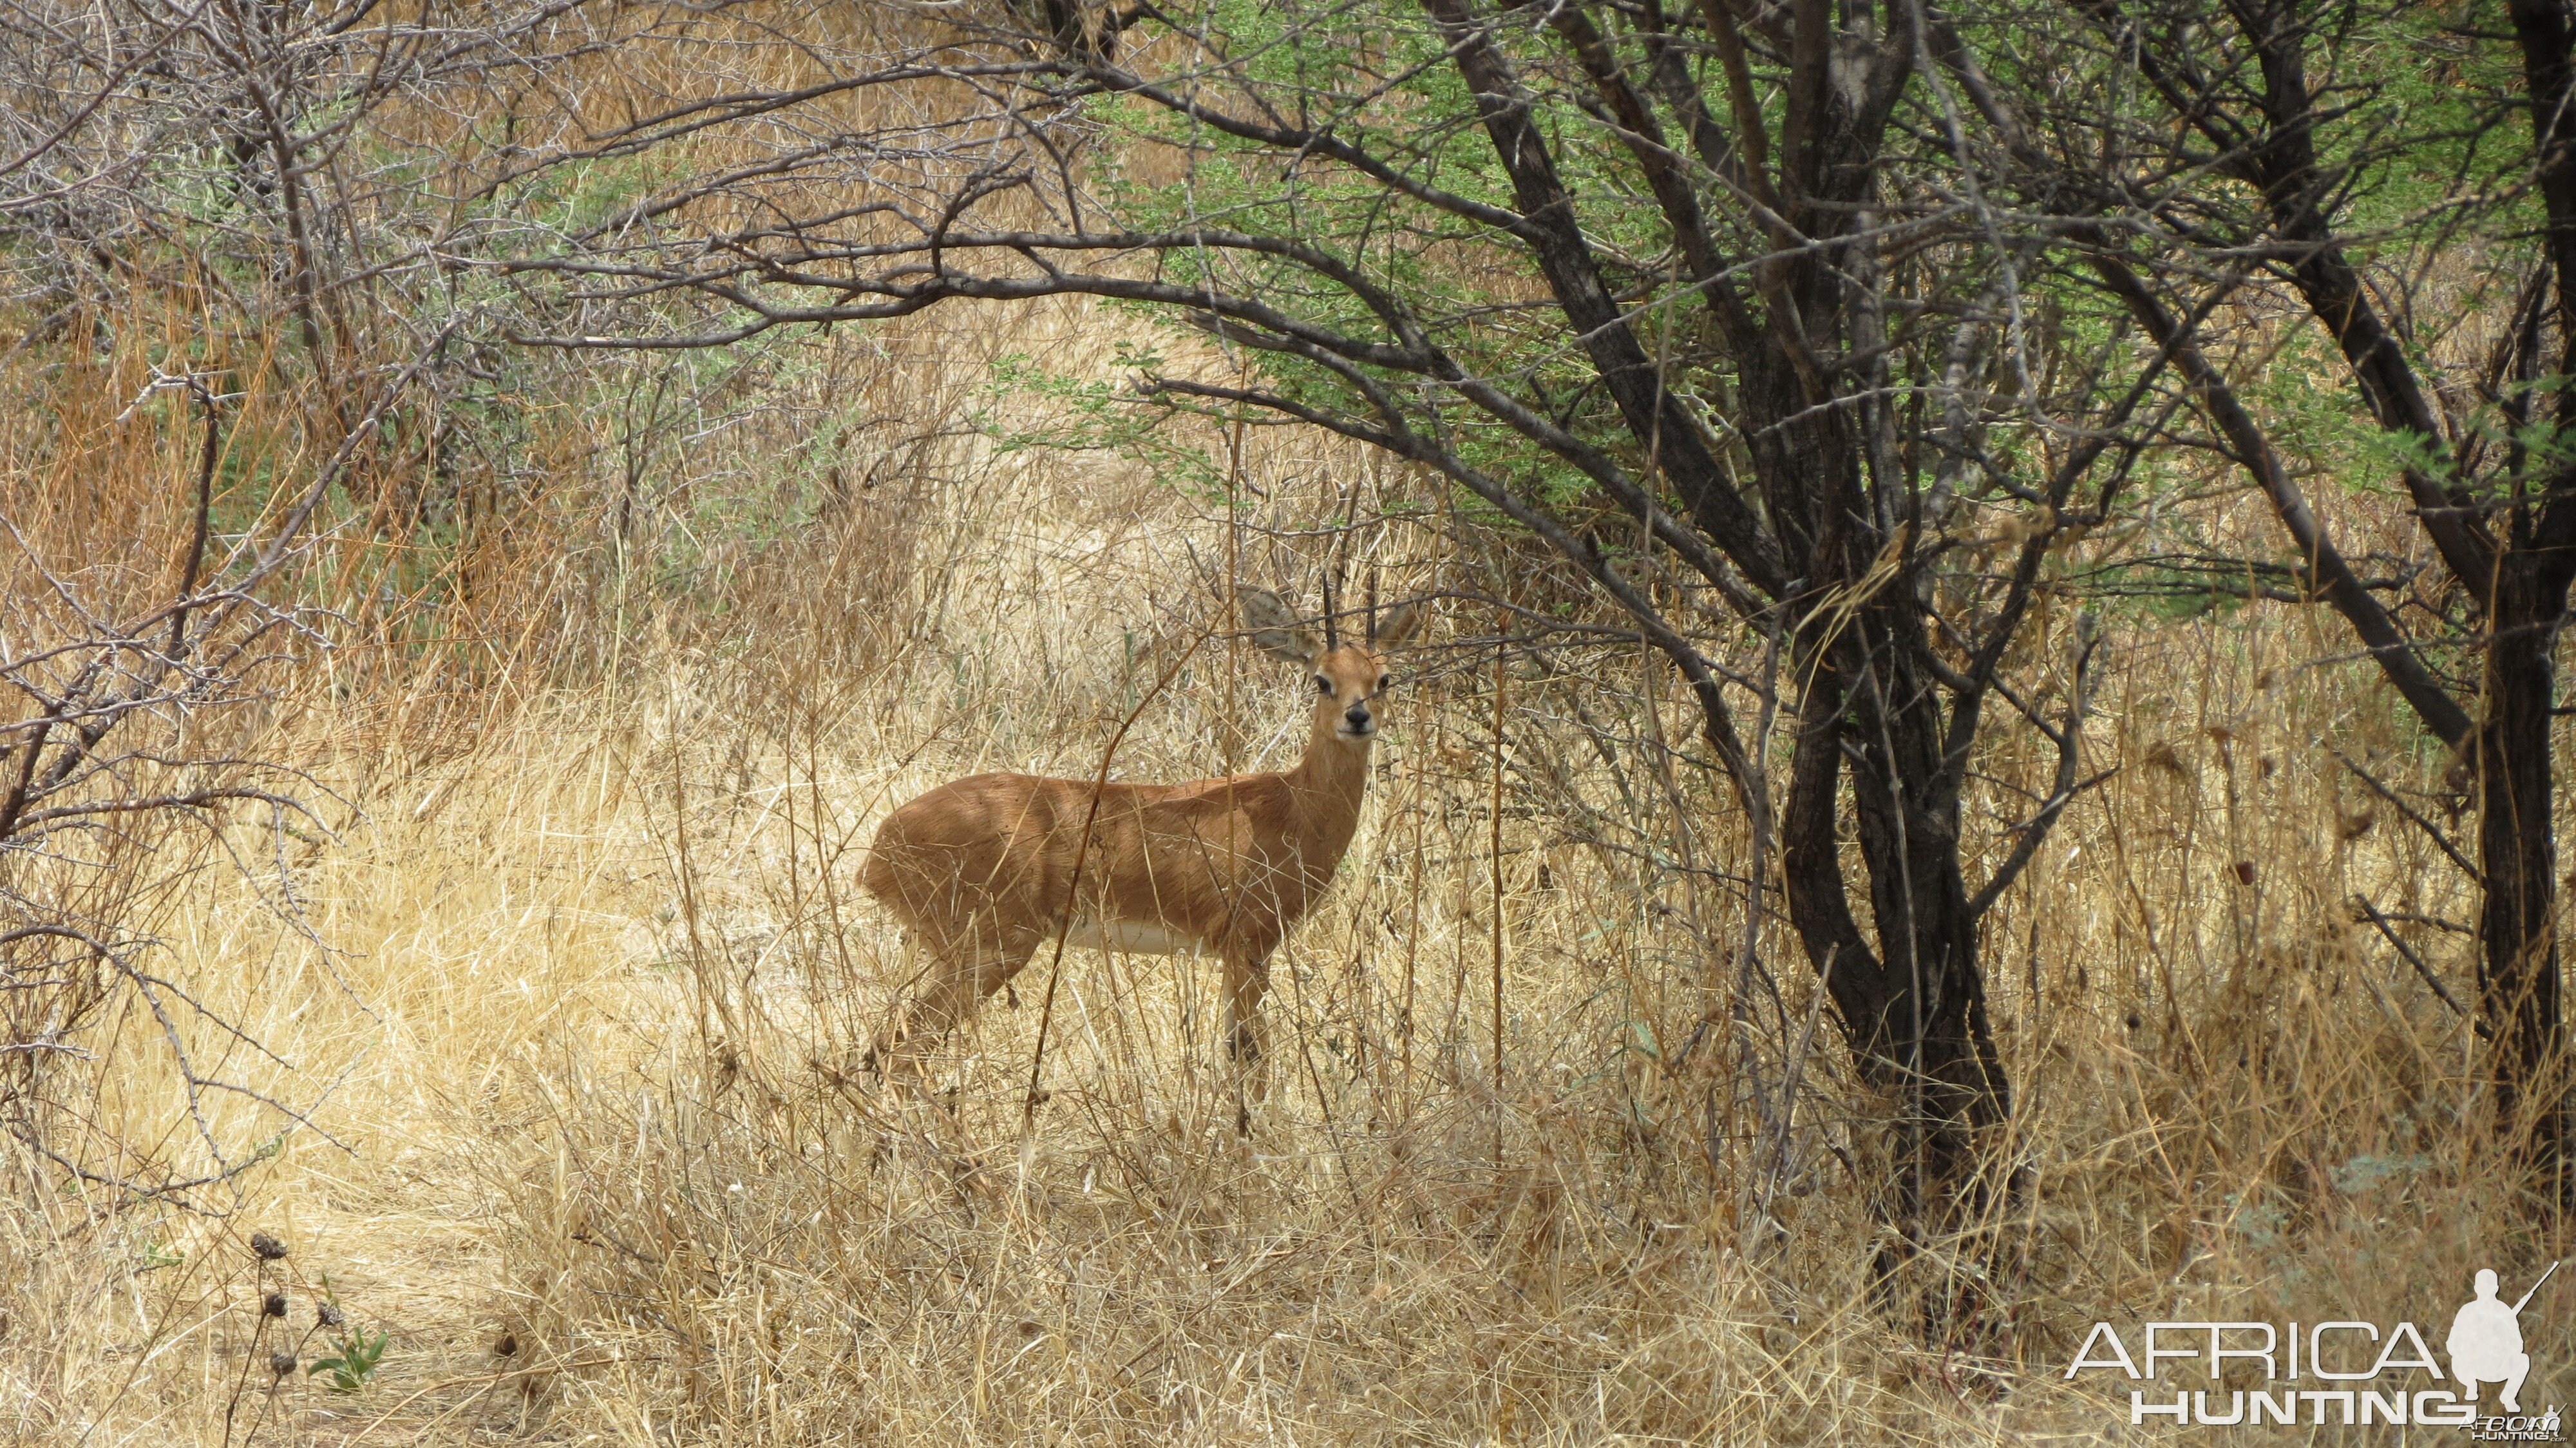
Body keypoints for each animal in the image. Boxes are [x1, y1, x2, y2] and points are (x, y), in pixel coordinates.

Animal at [866, 580, 1432, 1077]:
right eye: (1322, 679)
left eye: (1384, 679)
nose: (1357, 718)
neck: (1292, 806)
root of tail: (879, 848)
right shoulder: (1246, 946)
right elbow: (1249, 1059)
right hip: (989, 951)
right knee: (902, 1055)